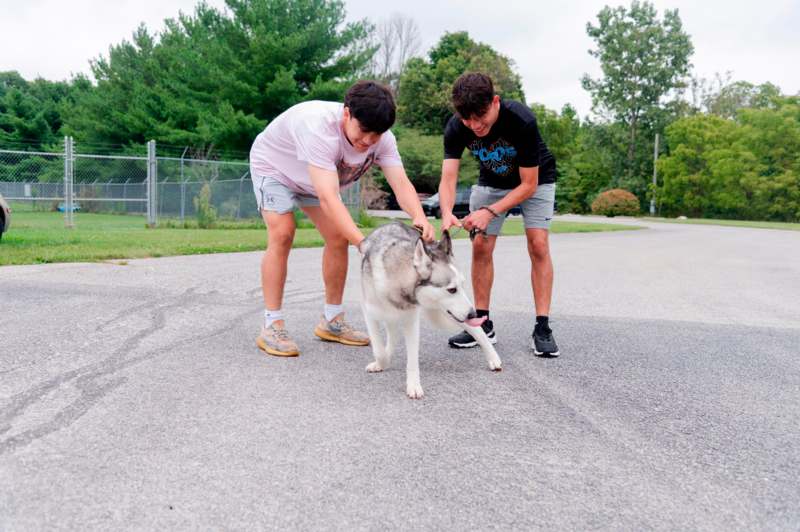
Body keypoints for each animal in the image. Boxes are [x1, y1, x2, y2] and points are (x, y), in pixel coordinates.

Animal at [360, 221, 500, 400]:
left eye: (462, 285)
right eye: (452, 289)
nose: (473, 314)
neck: (396, 278)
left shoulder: (411, 322)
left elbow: (412, 360)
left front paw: (413, 386)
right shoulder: (370, 314)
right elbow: (379, 350)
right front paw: (382, 362)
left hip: (449, 313)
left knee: (477, 330)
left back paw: (493, 357)